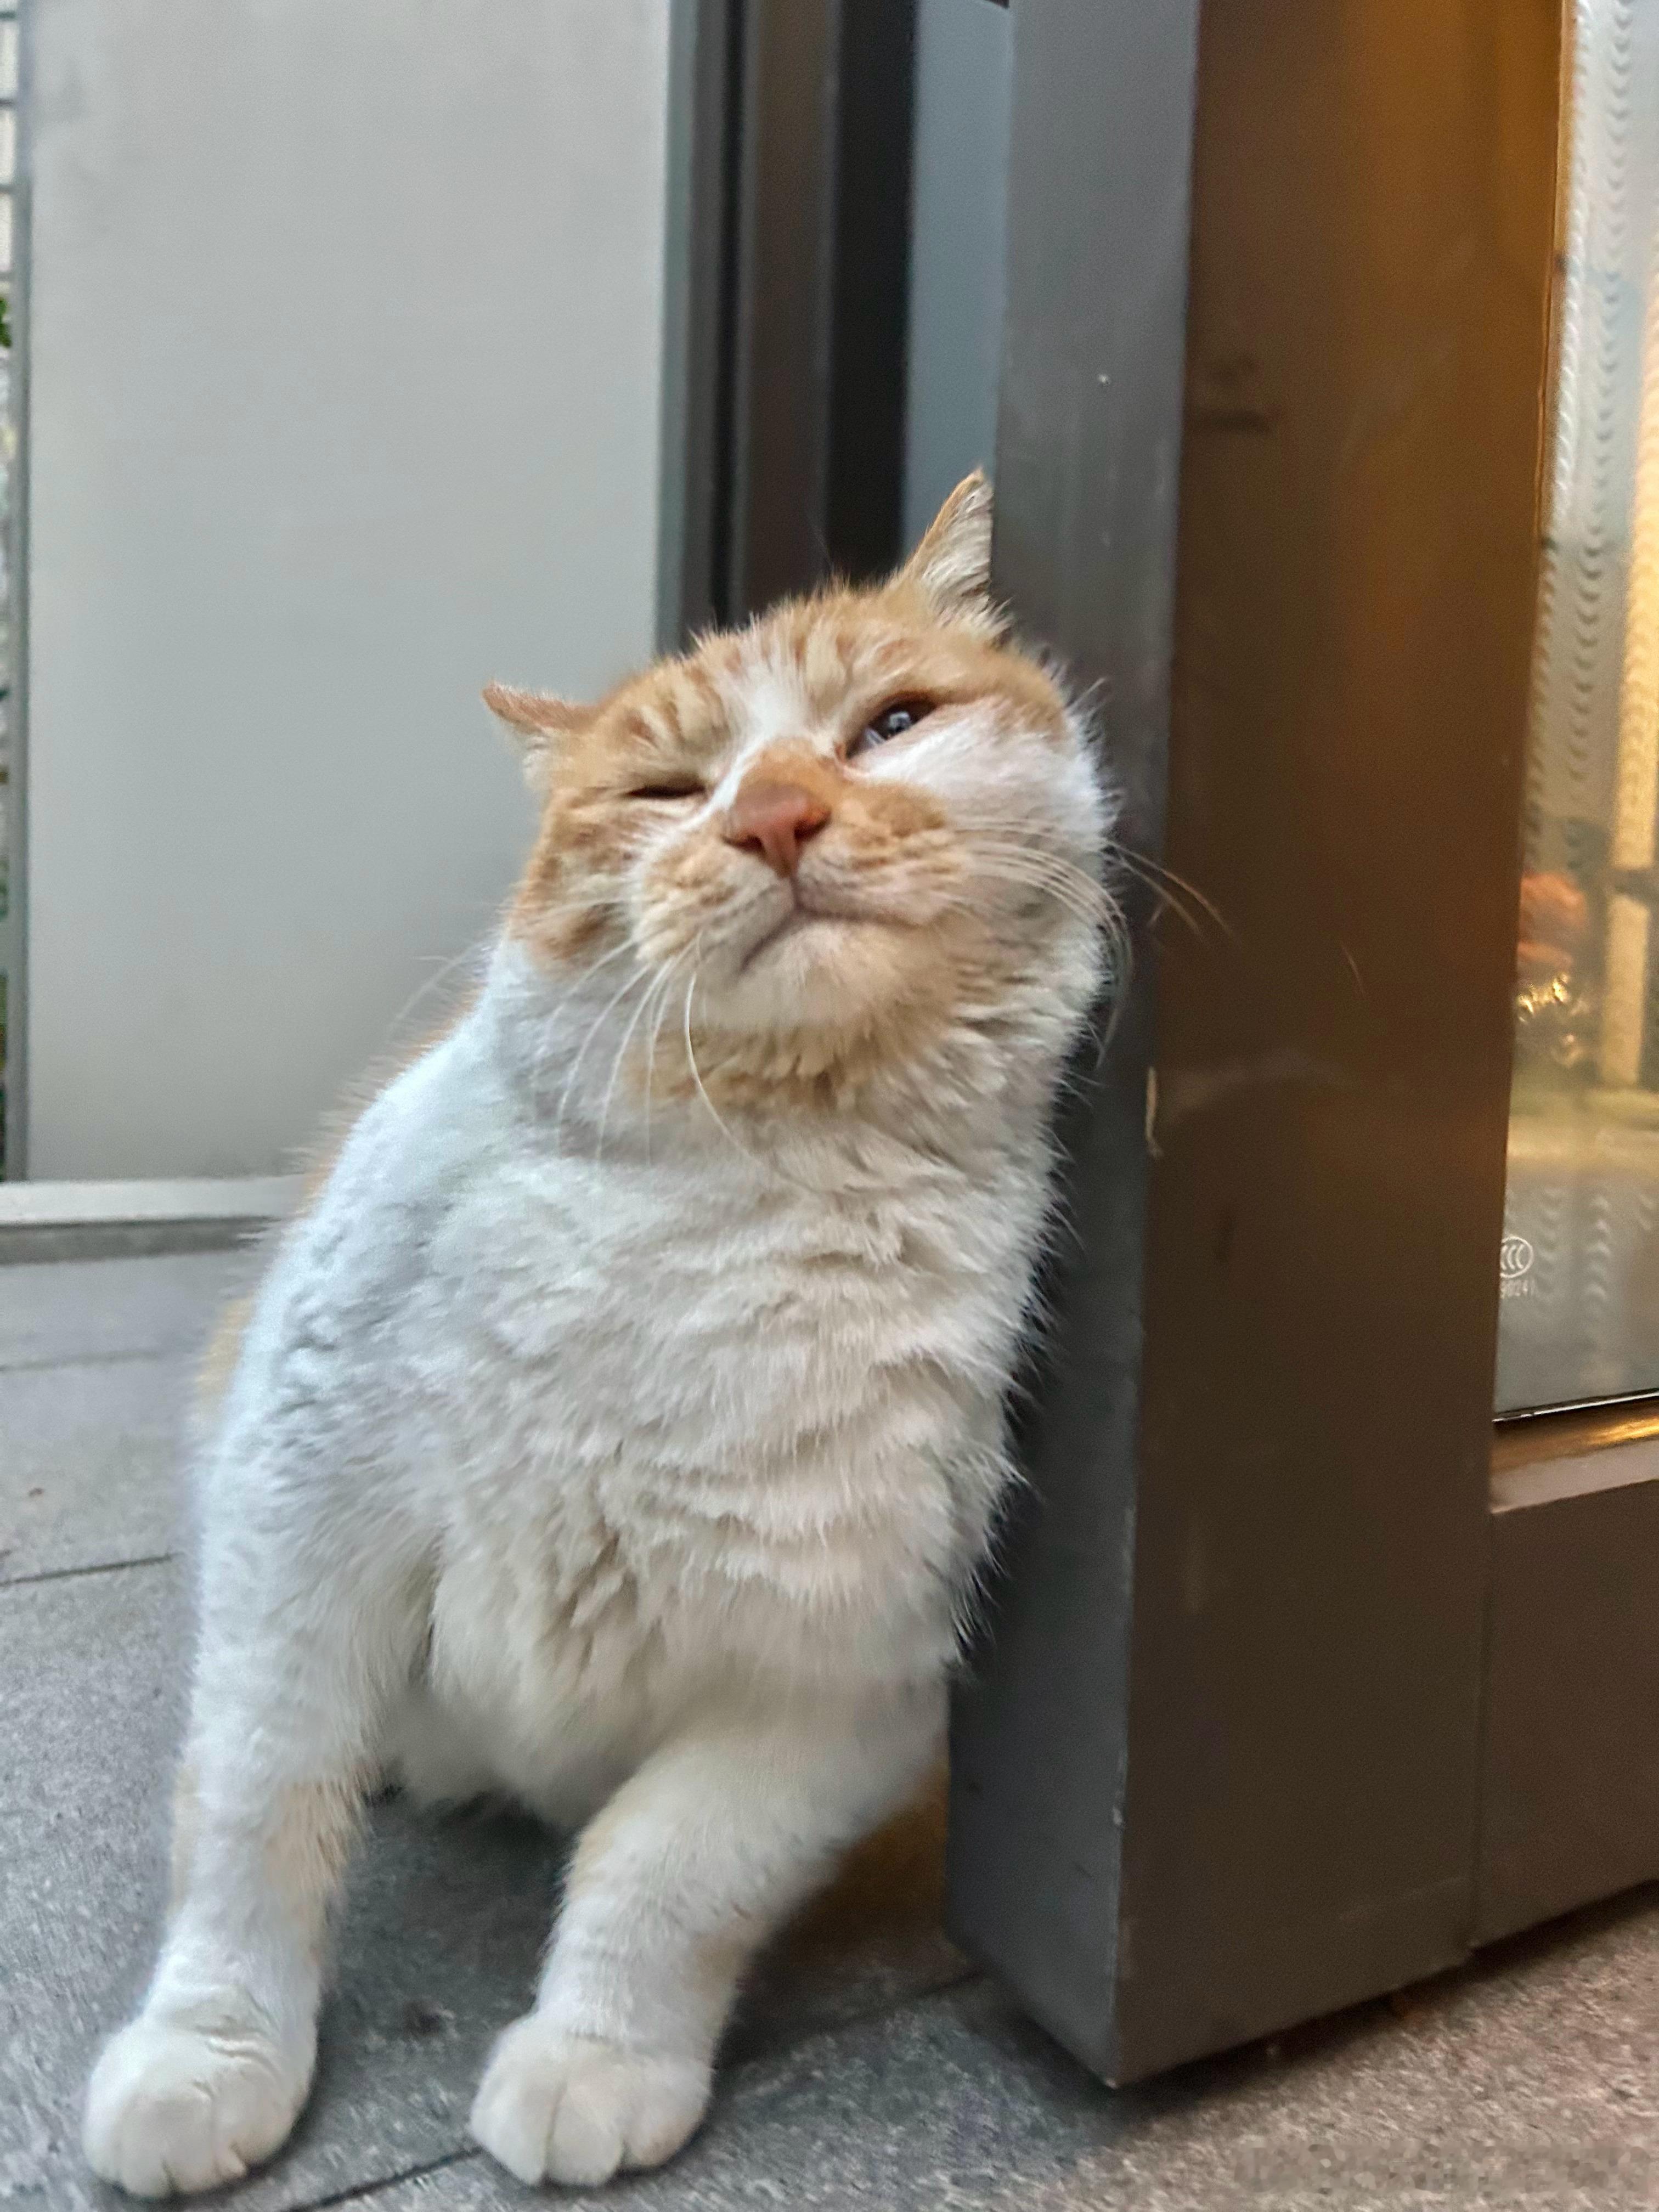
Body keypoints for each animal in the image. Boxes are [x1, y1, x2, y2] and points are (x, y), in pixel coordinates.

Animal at [82, 473, 1113, 2196]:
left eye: (890, 725)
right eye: (667, 788)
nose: (775, 817)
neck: (718, 1207)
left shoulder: (846, 1678)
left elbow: (664, 1872)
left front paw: (595, 2060)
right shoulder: (296, 1519)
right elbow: (253, 1813)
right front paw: (208, 2055)